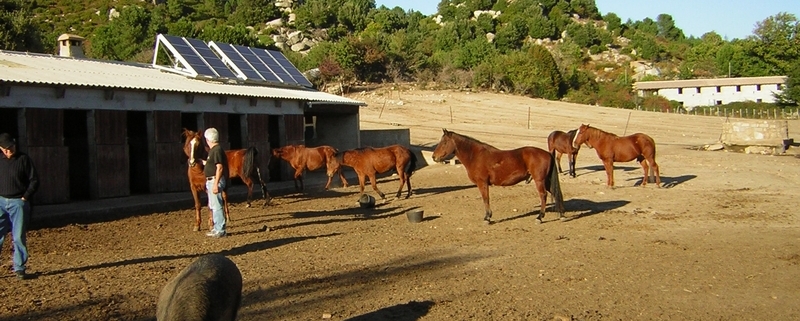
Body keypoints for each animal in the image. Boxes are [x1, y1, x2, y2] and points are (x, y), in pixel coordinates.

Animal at [428, 127, 564, 222]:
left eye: (444, 142)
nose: (434, 157)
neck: (475, 156)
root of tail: (547, 153)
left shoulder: (482, 183)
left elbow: (486, 199)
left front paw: (487, 217)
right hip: (546, 181)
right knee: (555, 193)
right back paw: (561, 215)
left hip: (539, 180)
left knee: (543, 195)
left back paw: (540, 217)